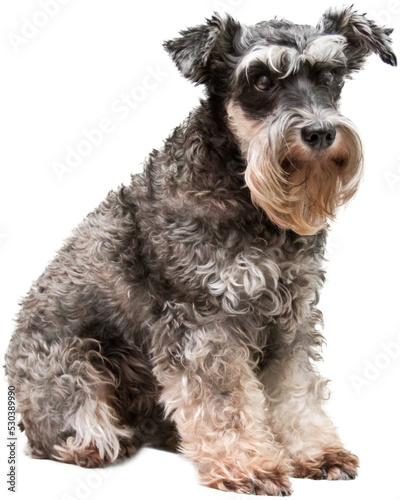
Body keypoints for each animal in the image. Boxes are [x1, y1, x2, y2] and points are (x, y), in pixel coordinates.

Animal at [6, 6, 396, 496]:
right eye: (261, 80)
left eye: (328, 75)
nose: (321, 132)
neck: (244, 190)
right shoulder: (203, 321)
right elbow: (223, 398)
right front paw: (247, 464)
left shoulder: (291, 318)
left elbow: (295, 388)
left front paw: (315, 450)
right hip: (70, 364)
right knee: (65, 426)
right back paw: (96, 440)